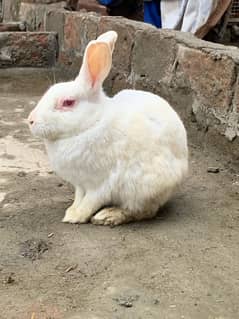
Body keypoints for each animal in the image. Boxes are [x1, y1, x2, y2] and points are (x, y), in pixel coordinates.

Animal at [27, 29, 189, 225]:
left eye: (68, 102)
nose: (31, 120)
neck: (91, 124)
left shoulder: (101, 183)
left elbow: (91, 201)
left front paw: (75, 217)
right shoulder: (80, 184)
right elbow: (79, 197)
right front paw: (71, 211)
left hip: (142, 187)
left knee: (143, 211)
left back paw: (108, 216)